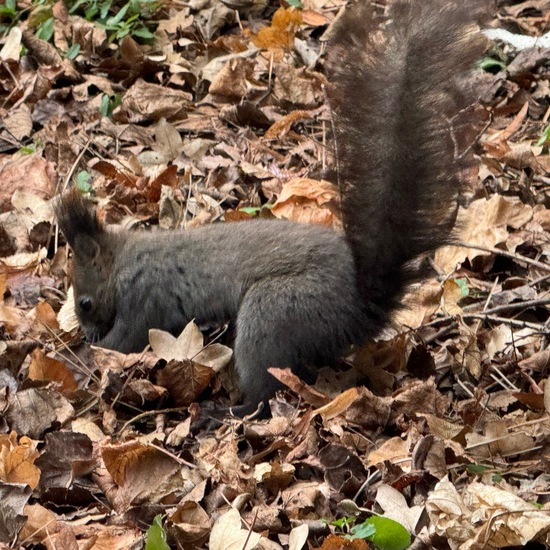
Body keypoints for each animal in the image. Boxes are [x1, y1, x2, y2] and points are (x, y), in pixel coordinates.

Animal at [55, 0, 488, 416]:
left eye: (85, 302)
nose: (86, 330)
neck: (122, 260)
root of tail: (363, 303)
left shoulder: (145, 296)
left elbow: (123, 341)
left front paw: (84, 356)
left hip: (275, 312)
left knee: (265, 390)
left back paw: (226, 412)